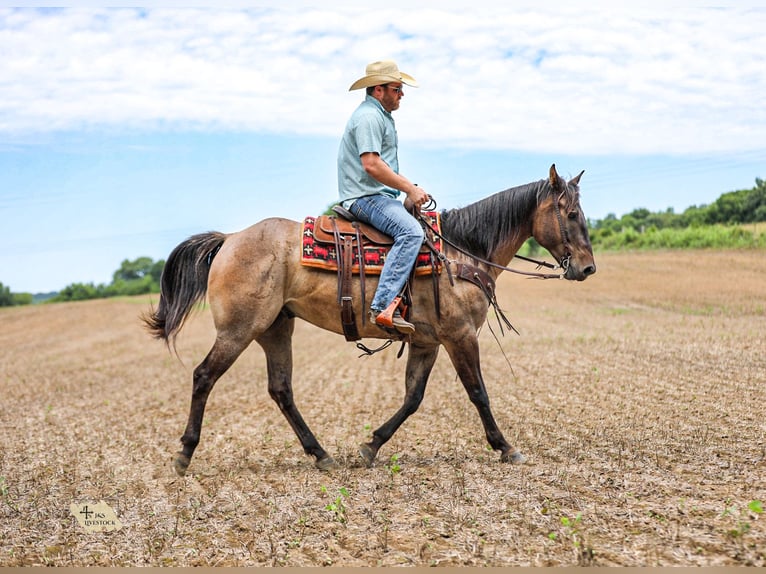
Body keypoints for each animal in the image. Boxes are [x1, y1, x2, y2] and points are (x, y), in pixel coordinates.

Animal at [143, 164, 596, 476]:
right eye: (572, 213)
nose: (588, 268)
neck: (461, 251)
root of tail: (229, 239)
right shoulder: (461, 336)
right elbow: (478, 393)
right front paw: (505, 447)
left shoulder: (427, 342)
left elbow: (412, 398)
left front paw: (371, 445)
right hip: (239, 330)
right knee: (204, 376)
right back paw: (184, 454)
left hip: (276, 327)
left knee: (281, 390)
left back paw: (321, 455)